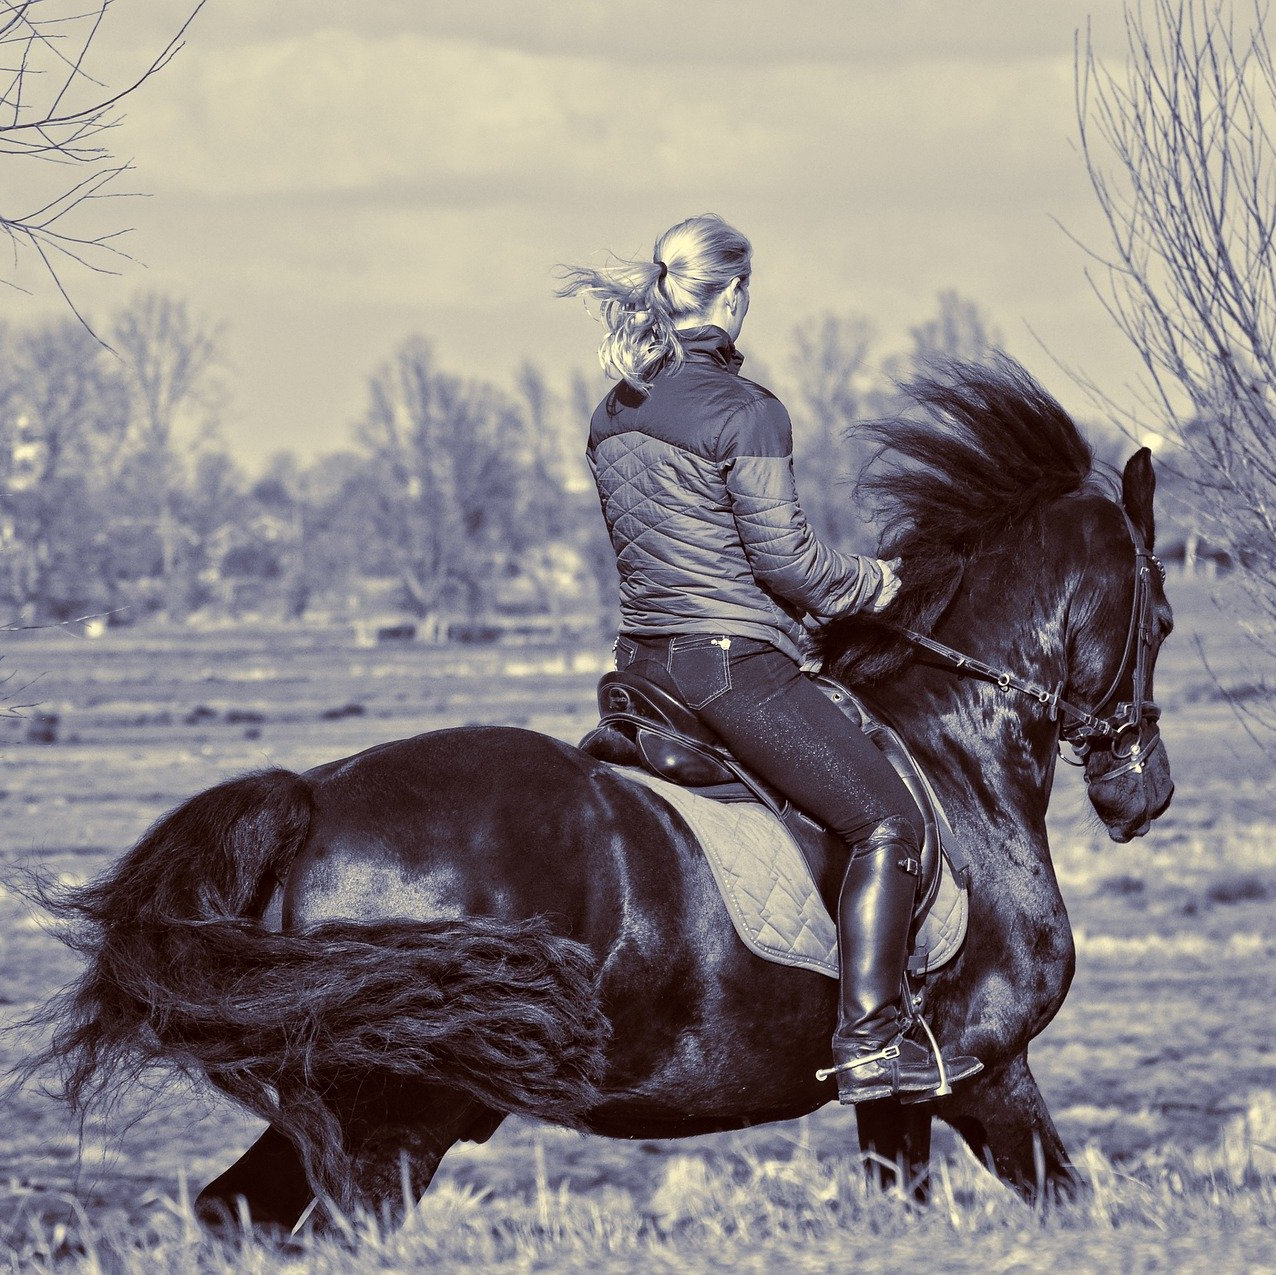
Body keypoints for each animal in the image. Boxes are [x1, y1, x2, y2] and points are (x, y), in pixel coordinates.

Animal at [33, 358, 1174, 1232]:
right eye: (1161, 617)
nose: (1143, 796)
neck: (953, 757)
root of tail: (312, 799)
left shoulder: (908, 1099)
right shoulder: (983, 1065)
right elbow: (1063, 1195)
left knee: (236, 1211)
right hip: (402, 1115)